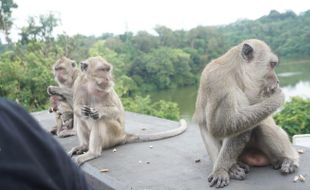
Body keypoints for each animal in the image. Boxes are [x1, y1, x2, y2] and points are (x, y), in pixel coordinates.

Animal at [47, 55, 188, 166]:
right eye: (102, 70)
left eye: (107, 69)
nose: (108, 78)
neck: (92, 85)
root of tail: (123, 135)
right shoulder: (80, 85)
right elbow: (78, 108)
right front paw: (80, 110)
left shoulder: (106, 89)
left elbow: (115, 111)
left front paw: (98, 112)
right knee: (83, 119)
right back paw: (84, 146)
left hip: (114, 135)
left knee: (100, 121)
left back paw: (92, 152)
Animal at [194, 39, 298, 188]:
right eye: (272, 64)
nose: (277, 81)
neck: (235, 73)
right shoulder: (217, 82)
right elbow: (218, 126)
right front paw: (223, 169)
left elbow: (233, 127)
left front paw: (223, 169)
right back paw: (235, 165)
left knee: (261, 126)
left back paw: (288, 159)